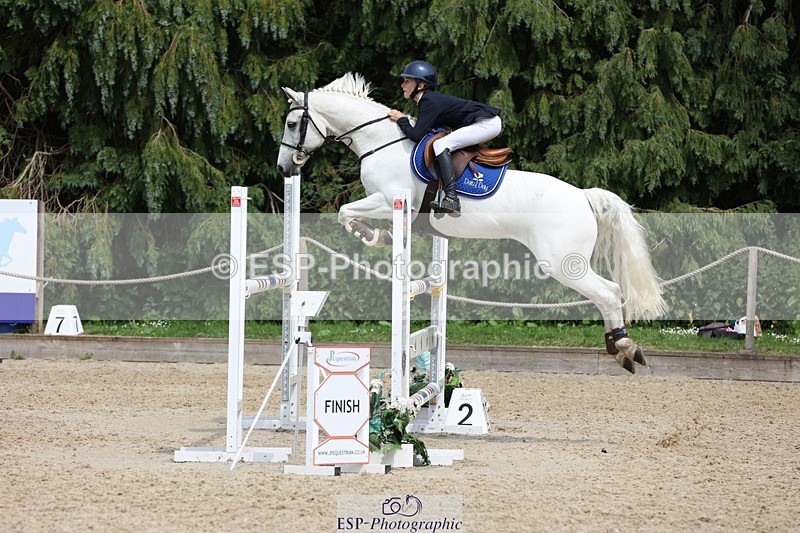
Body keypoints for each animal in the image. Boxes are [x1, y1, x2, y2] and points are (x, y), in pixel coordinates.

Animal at [276, 73, 666, 373]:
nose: (283, 168)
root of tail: (583, 195)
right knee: (608, 294)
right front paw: (380, 236)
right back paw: (620, 349)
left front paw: (372, 235)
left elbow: (346, 211)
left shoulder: (389, 201)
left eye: (293, 124)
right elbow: (352, 213)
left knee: (609, 292)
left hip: (562, 262)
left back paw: (625, 347)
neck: (379, 142)